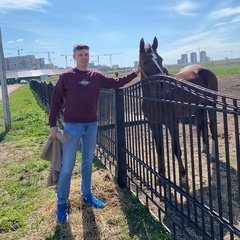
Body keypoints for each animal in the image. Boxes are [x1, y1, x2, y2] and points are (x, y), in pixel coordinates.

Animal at [139, 36, 219, 188]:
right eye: (145, 61)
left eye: (161, 59)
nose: (162, 85)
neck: (156, 98)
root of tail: (205, 69)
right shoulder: (154, 124)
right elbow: (159, 149)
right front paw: (160, 177)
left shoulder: (172, 123)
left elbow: (176, 149)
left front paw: (183, 177)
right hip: (198, 107)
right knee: (202, 124)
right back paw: (204, 148)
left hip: (211, 105)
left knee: (212, 125)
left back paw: (213, 155)